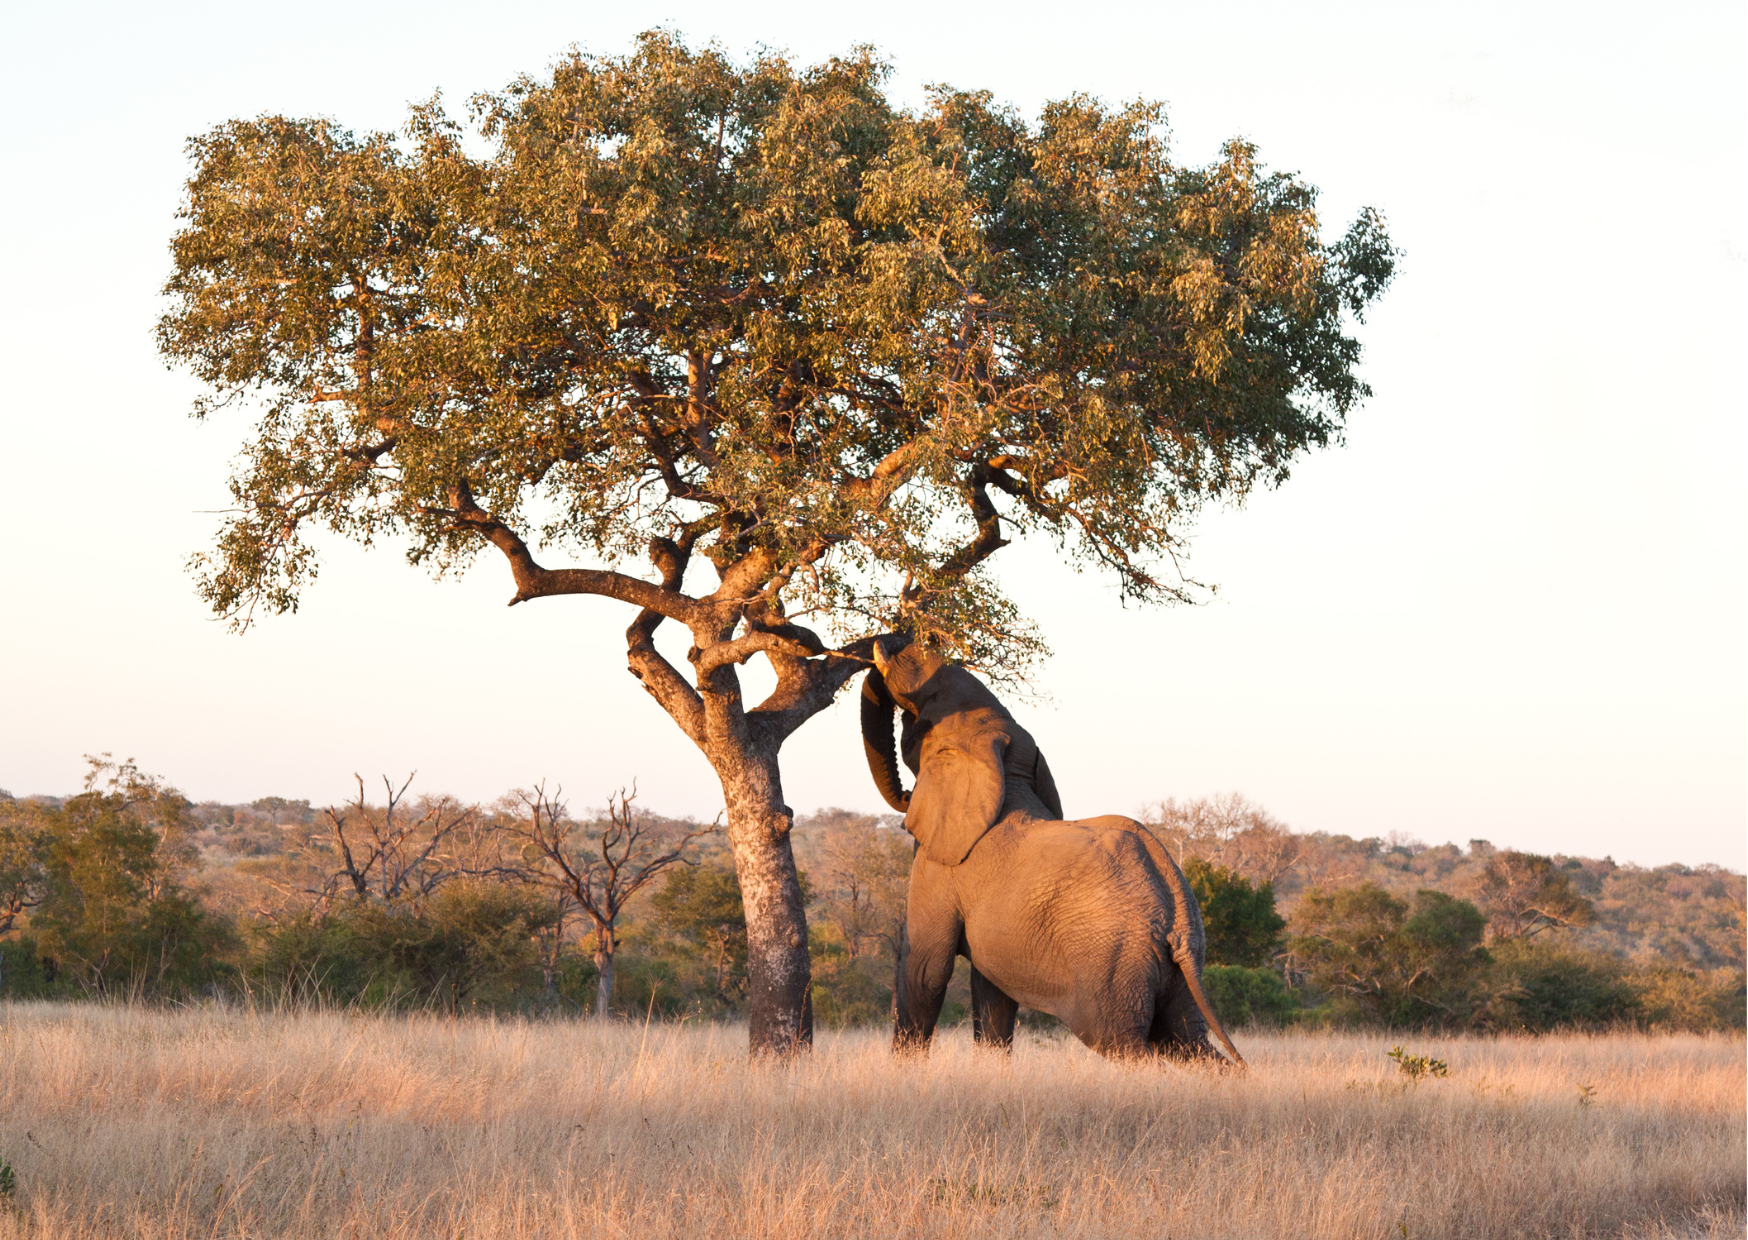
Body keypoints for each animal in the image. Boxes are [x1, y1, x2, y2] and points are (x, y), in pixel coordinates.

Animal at [860, 640, 1244, 1063]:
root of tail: (1180, 918)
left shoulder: (941, 864)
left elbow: (925, 970)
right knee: (1187, 1043)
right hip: (1176, 969)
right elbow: (992, 989)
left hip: (1114, 961)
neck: (1005, 771)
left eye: (917, 725)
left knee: (1124, 1044)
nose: (896, 643)